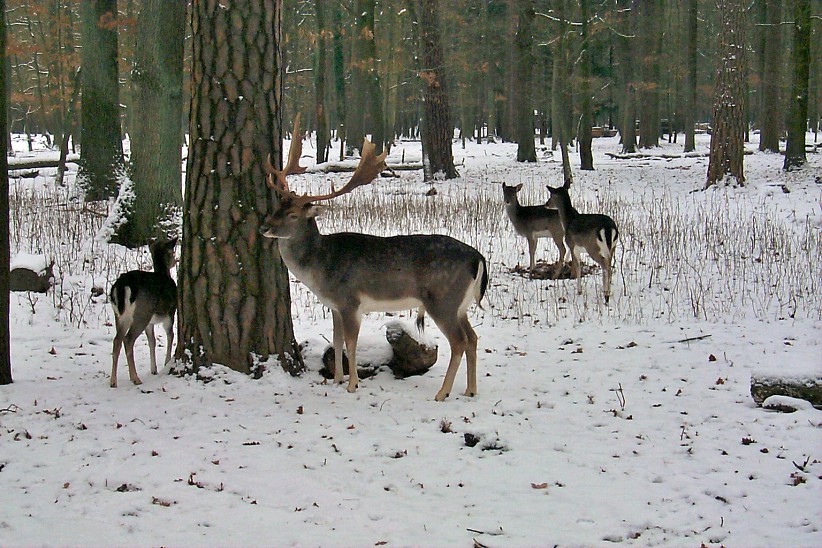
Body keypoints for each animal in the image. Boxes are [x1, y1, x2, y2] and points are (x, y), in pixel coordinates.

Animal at [110, 238, 178, 388]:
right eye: (172, 252)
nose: (175, 261)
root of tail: (122, 286)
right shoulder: (170, 313)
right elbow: (170, 335)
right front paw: (166, 363)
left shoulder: (150, 323)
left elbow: (152, 341)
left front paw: (154, 369)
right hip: (142, 313)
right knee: (128, 339)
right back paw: (135, 378)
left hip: (120, 316)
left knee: (117, 340)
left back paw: (113, 381)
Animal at [260, 117, 486, 400]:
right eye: (277, 207)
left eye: (292, 214)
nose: (264, 227)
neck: (320, 266)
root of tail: (477, 258)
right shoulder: (334, 305)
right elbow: (336, 341)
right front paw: (336, 380)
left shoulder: (350, 301)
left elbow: (350, 342)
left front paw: (352, 384)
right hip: (460, 304)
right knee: (473, 338)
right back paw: (470, 390)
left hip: (442, 298)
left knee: (459, 341)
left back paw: (442, 392)